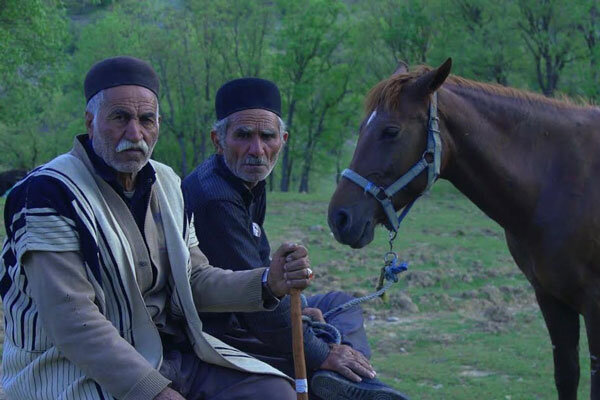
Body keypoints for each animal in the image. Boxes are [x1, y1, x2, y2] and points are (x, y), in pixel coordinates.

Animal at [326, 57, 600, 400]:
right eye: (362, 128)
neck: (560, 179)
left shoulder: (594, 304)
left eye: (391, 131)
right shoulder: (550, 297)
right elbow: (566, 375)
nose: (339, 218)